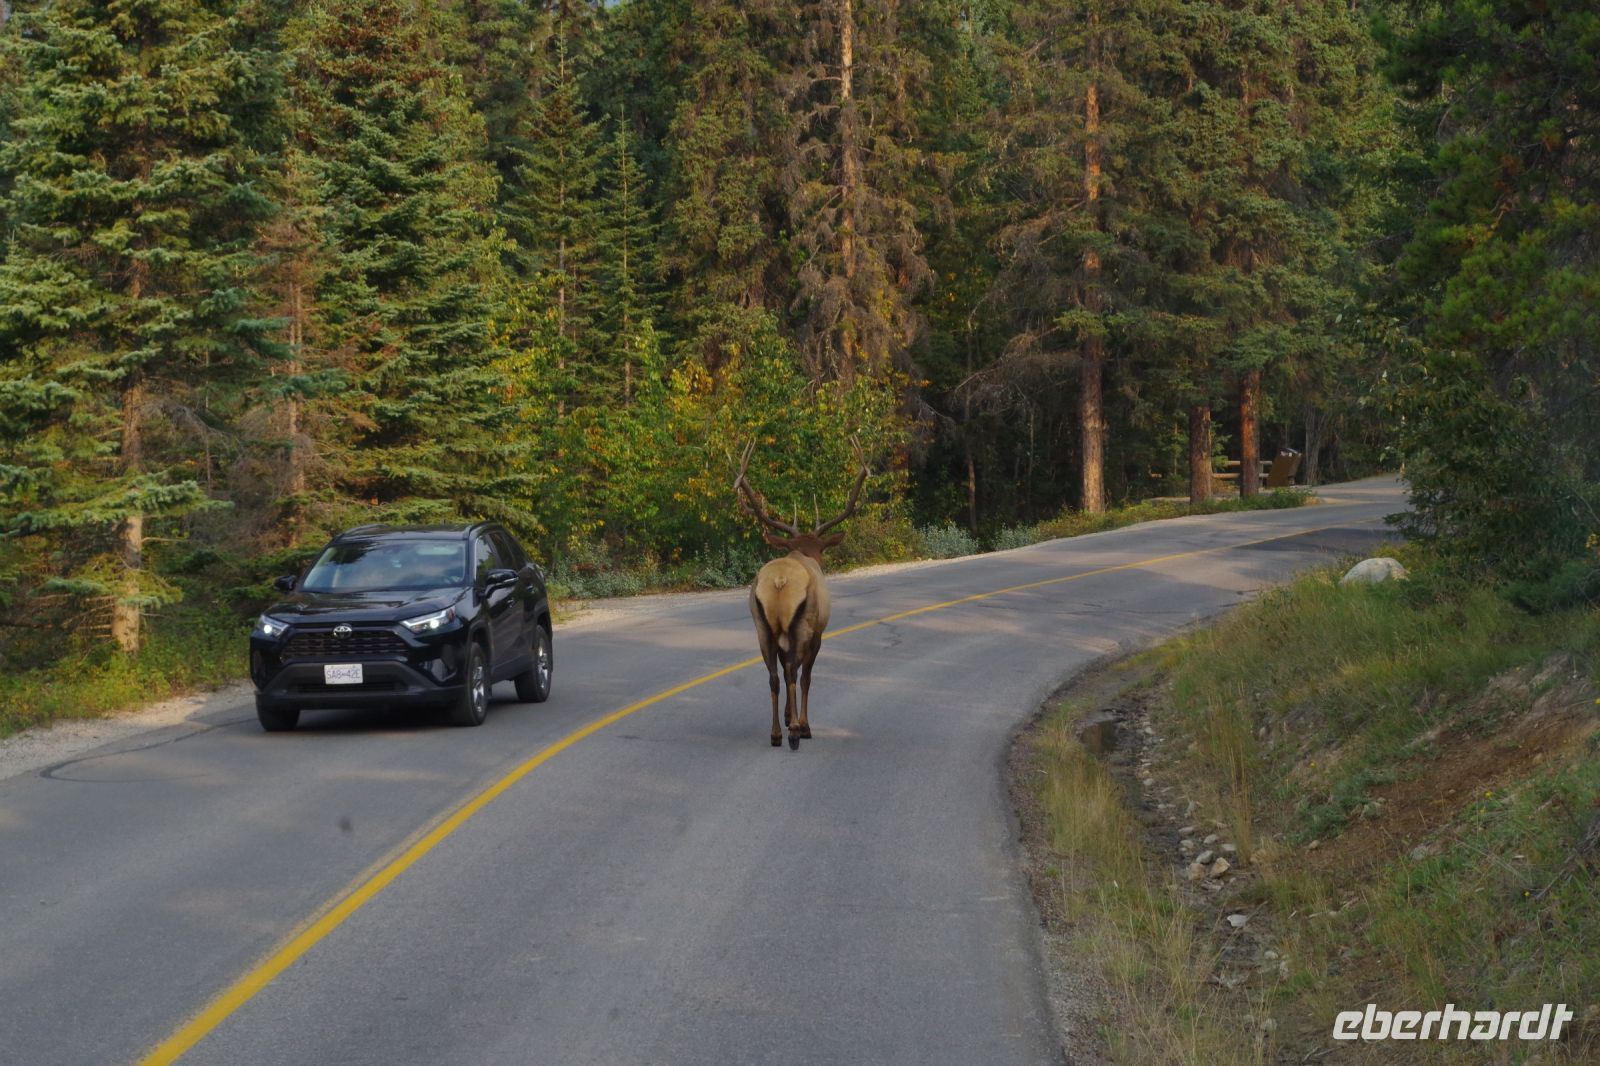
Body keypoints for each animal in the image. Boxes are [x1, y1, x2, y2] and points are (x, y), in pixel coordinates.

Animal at [733, 440, 870, 750]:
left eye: (819, 547)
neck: (801, 551)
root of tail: (780, 581)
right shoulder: (818, 633)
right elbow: (806, 676)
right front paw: (800, 723)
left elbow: (784, 673)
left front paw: (787, 717)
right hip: (803, 624)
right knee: (795, 673)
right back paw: (797, 730)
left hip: (762, 627)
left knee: (775, 675)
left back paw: (776, 733)